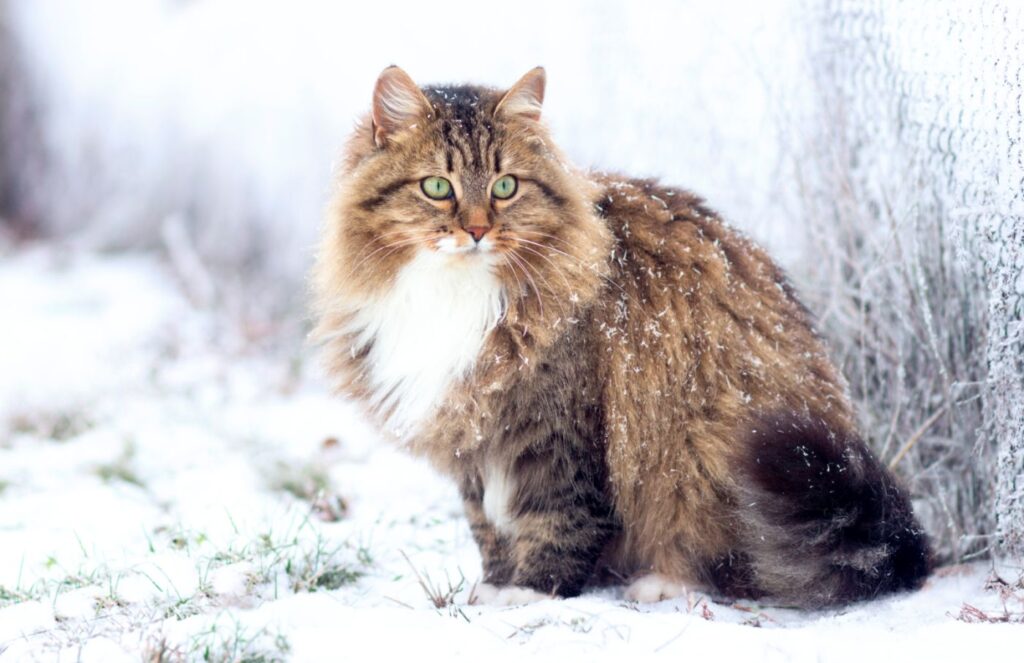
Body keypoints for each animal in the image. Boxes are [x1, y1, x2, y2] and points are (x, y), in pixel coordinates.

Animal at [313, 66, 937, 606]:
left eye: (505, 186)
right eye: (438, 187)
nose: (477, 230)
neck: (453, 292)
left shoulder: (559, 425)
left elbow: (558, 518)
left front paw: (531, 592)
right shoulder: (473, 430)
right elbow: (486, 523)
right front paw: (493, 585)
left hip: (707, 444)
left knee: (730, 563)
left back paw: (660, 583)